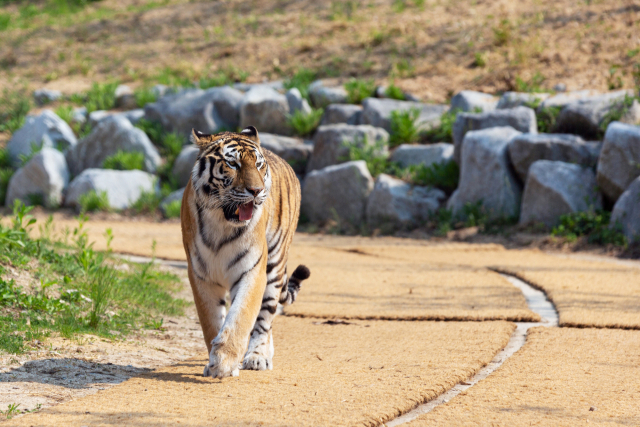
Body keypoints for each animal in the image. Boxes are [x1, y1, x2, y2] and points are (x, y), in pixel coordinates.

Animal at [180, 125, 310, 380]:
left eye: (258, 165)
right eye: (233, 164)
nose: (257, 190)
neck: (220, 223)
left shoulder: (252, 271)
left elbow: (241, 316)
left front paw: (224, 361)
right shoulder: (201, 276)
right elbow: (211, 322)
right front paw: (216, 363)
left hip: (274, 265)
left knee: (264, 319)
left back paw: (258, 356)